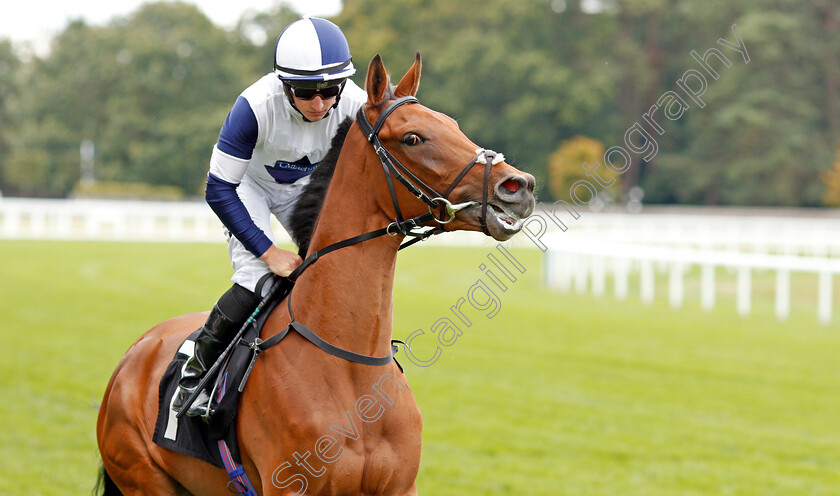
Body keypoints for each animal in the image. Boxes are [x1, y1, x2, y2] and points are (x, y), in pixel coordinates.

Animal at [95, 52, 536, 494]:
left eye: (453, 125)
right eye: (413, 138)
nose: (519, 185)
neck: (350, 363)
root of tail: (133, 353)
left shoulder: (401, 487)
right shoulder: (289, 485)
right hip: (142, 476)